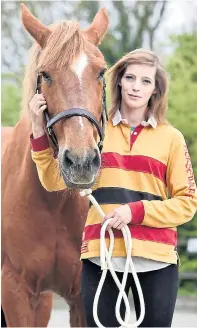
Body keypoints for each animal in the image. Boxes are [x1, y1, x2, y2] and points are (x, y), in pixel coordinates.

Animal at [1, 3, 109, 326]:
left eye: (101, 72)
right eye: (45, 74)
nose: (82, 161)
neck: (54, 204)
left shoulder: (81, 296)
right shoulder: (15, 291)